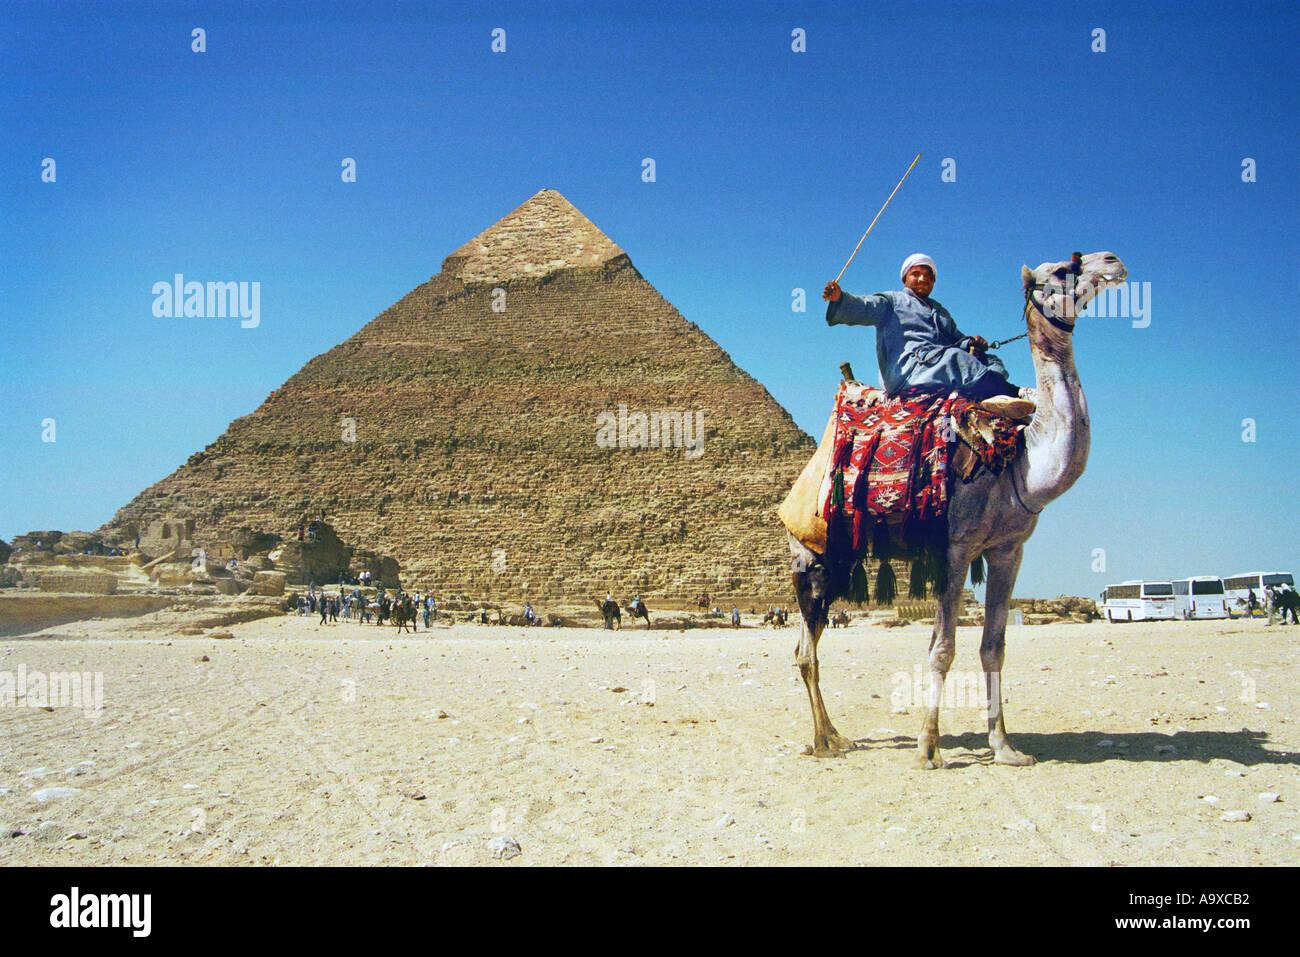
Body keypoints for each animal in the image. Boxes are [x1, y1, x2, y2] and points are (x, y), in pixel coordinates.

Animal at [780, 250, 1128, 764]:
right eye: (1064, 268)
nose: (1113, 261)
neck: (1021, 460)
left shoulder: (1008, 550)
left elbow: (993, 647)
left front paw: (1005, 746)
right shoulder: (956, 548)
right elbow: (942, 647)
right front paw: (928, 749)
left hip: (841, 561)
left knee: (807, 645)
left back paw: (833, 735)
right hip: (813, 558)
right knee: (807, 650)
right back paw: (828, 741)